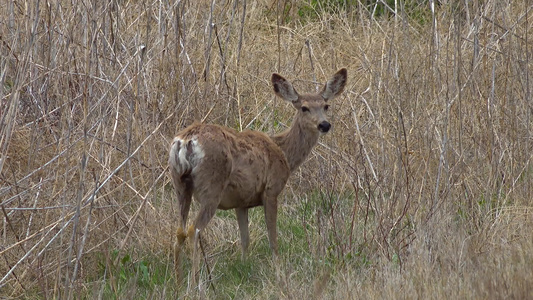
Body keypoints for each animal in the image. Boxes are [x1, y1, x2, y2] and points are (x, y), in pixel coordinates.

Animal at [168, 68, 348, 284]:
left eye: (325, 106)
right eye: (304, 108)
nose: (324, 124)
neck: (284, 154)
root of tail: (185, 141)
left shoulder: (241, 201)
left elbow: (245, 239)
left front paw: (244, 267)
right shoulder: (271, 190)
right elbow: (273, 238)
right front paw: (278, 272)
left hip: (179, 183)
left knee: (179, 230)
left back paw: (178, 281)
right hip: (212, 186)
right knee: (194, 229)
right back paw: (196, 282)